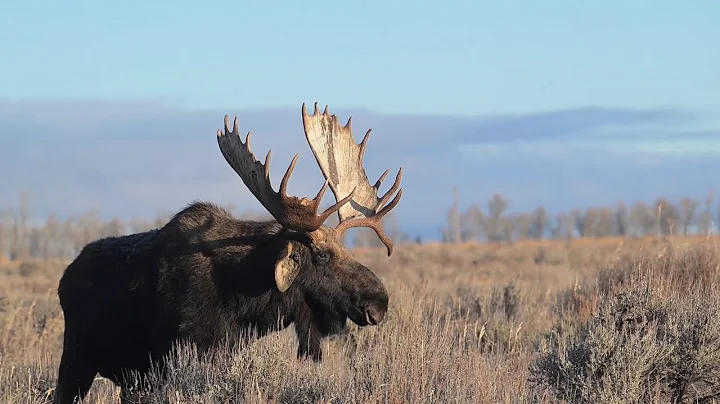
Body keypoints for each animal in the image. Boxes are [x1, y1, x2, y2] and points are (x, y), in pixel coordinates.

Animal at [51, 103, 404, 404]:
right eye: (320, 255)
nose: (379, 302)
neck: (243, 299)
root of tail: (67, 274)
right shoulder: (173, 361)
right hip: (77, 359)